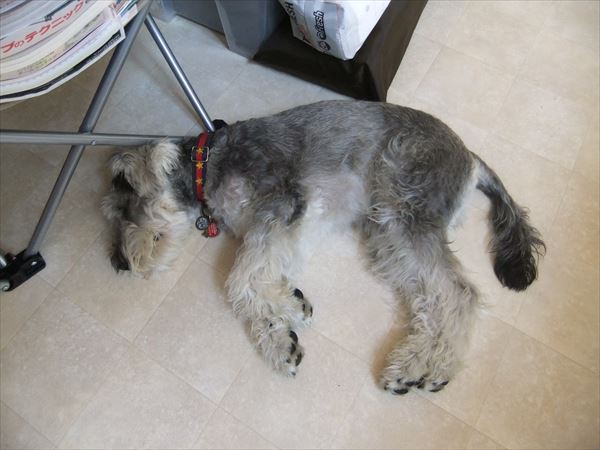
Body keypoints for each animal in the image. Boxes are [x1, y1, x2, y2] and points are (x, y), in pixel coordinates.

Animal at [102, 100, 545, 394]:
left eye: (123, 207)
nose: (118, 262)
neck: (206, 164)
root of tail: (470, 158)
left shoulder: (283, 210)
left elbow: (239, 280)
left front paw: (283, 311)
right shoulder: (283, 231)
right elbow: (254, 285)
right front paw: (283, 330)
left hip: (405, 216)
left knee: (460, 294)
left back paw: (429, 368)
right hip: (387, 236)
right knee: (431, 299)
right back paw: (414, 363)